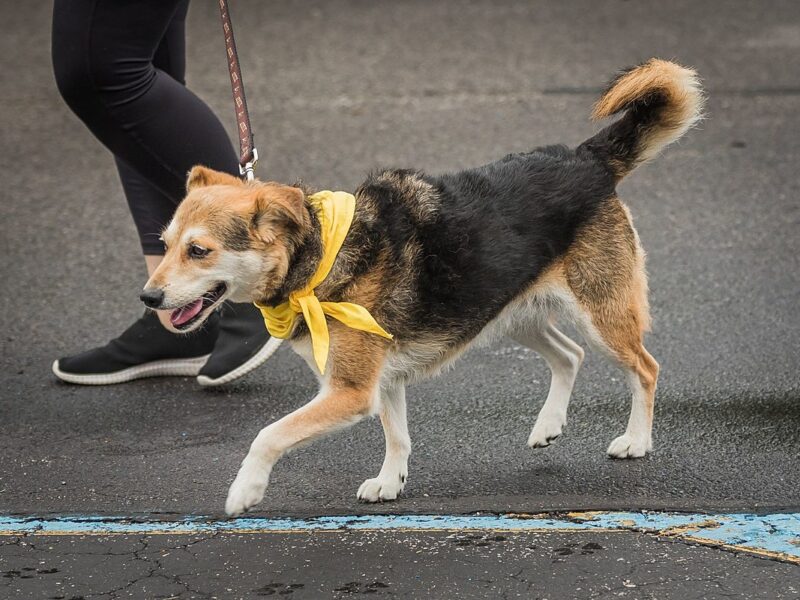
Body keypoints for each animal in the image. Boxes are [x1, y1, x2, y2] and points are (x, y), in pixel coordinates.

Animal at [142, 58, 700, 512]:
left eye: (198, 250)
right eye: (164, 245)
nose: (148, 299)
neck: (319, 260)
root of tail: (586, 160)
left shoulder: (350, 391)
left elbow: (268, 435)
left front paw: (245, 490)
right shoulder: (382, 379)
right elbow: (397, 436)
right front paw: (391, 482)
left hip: (600, 314)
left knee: (645, 368)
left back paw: (636, 440)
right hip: (505, 311)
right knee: (569, 355)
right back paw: (548, 426)